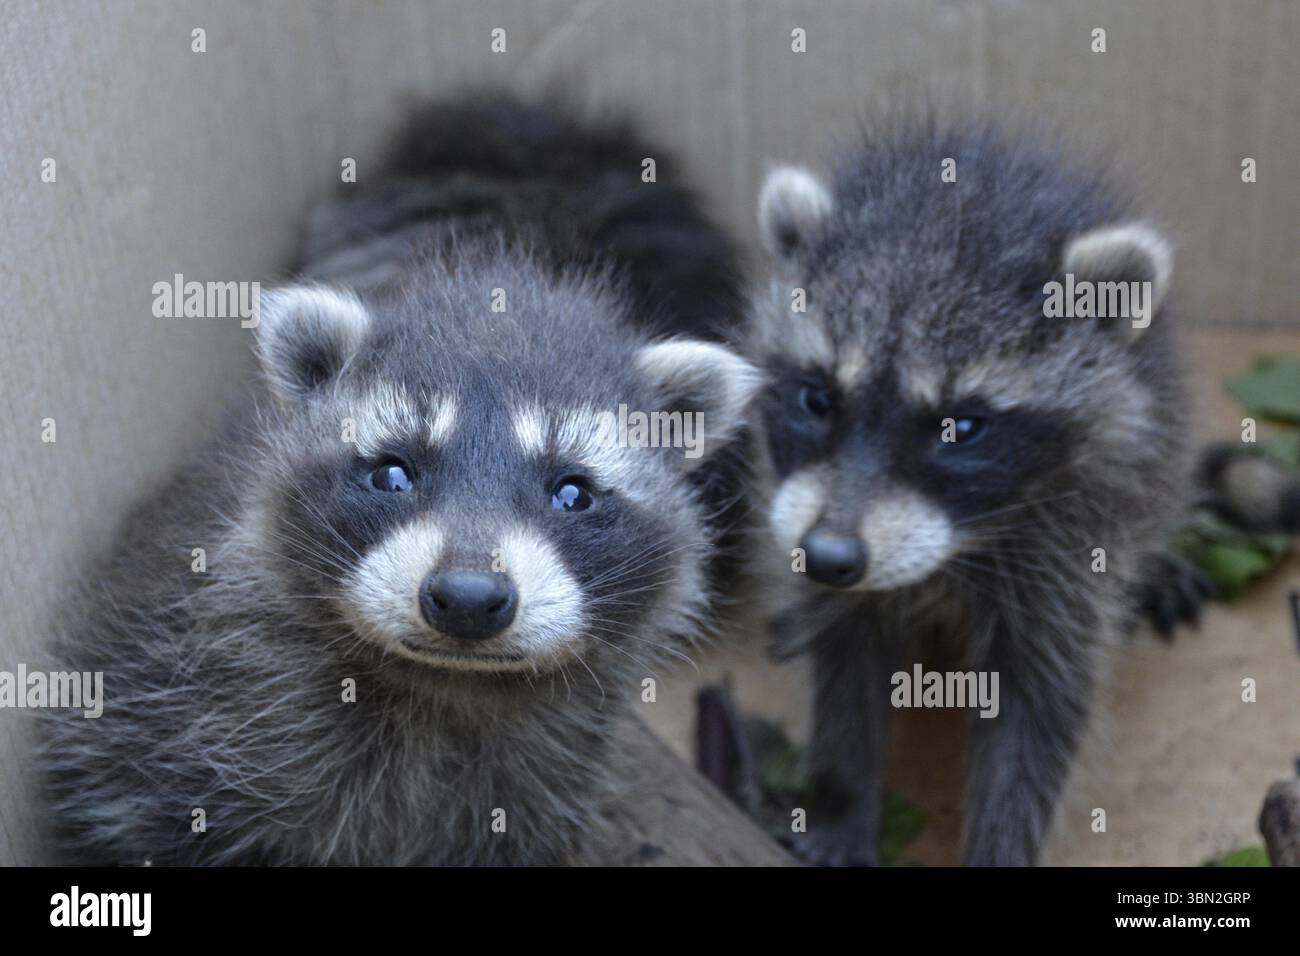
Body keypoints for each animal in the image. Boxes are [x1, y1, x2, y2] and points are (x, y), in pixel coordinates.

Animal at [749, 118, 1195, 866]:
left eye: (959, 428)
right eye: (816, 397)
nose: (829, 557)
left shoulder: (1070, 552)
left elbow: (1038, 712)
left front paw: (1003, 844)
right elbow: (844, 663)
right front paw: (842, 795)